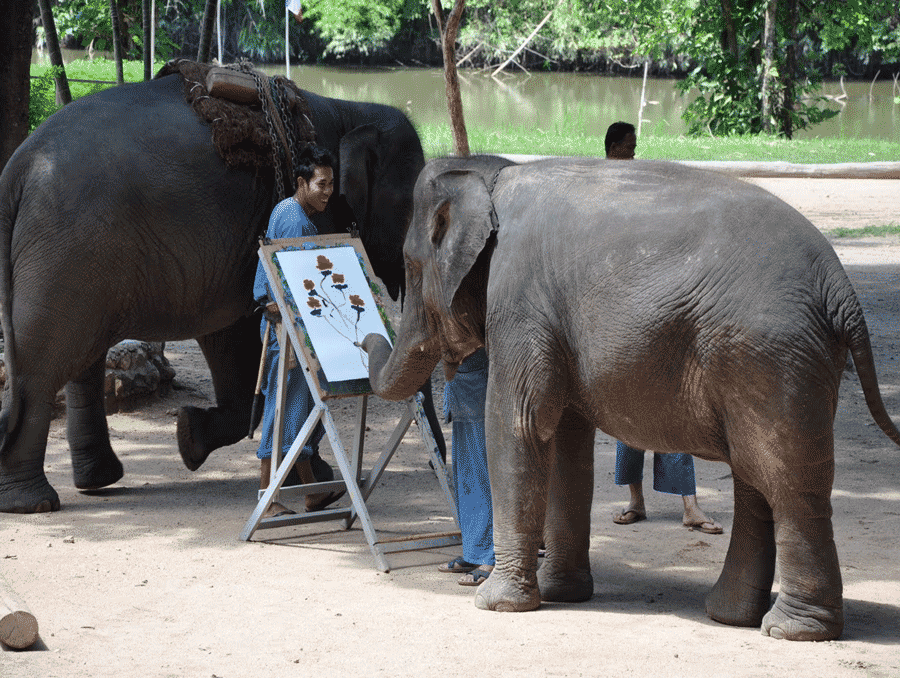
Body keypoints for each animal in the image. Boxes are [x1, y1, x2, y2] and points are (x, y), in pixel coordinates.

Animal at [0, 67, 446, 516]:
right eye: (414, 213)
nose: (436, 463)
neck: (348, 110)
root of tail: (18, 166)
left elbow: (227, 335)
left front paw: (189, 437)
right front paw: (315, 480)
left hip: (77, 257)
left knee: (81, 360)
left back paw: (97, 482)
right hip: (68, 251)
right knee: (45, 363)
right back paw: (31, 502)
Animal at [364, 155, 900, 644]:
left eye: (409, 265)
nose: (367, 335)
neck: (493, 173)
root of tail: (841, 289)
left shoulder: (518, 301)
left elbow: (518, 424)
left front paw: (496, 604)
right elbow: (567, 443)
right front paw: (562, 595)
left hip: (771, 356)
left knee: (785, 482)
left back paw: (791, 630)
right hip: (772, 360)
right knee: (755, 475)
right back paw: (732, 616)